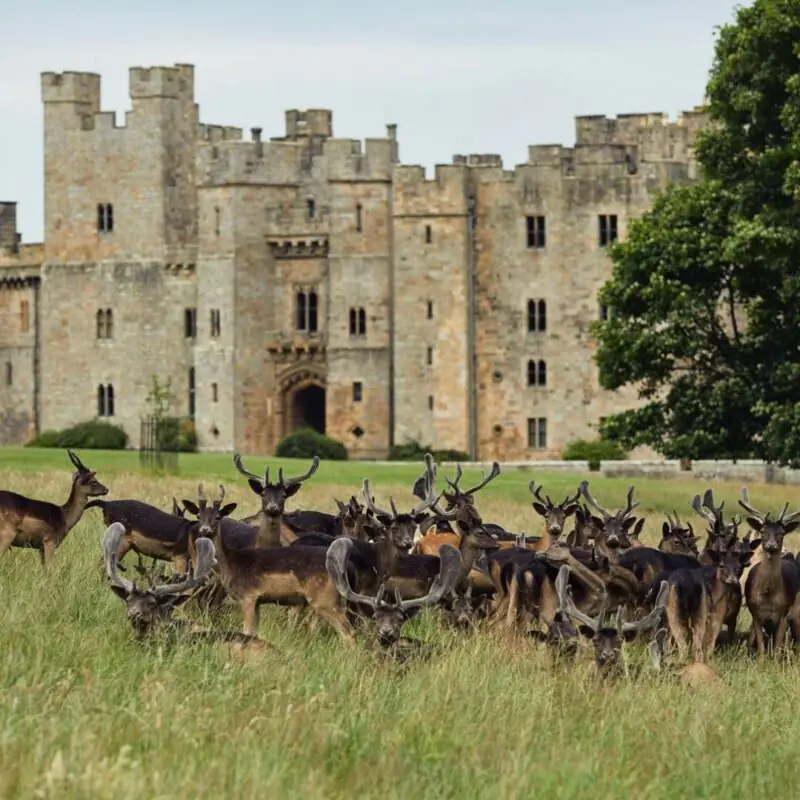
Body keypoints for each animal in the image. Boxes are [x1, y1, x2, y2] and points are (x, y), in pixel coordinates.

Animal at [738, 488, 800, 659]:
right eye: (762, 531)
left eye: (782, 532)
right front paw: (761, 661)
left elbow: (777, 647)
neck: (768, 593)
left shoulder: (783, 612)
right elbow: (760, 646)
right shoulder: (755, 612)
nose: (772, 545)